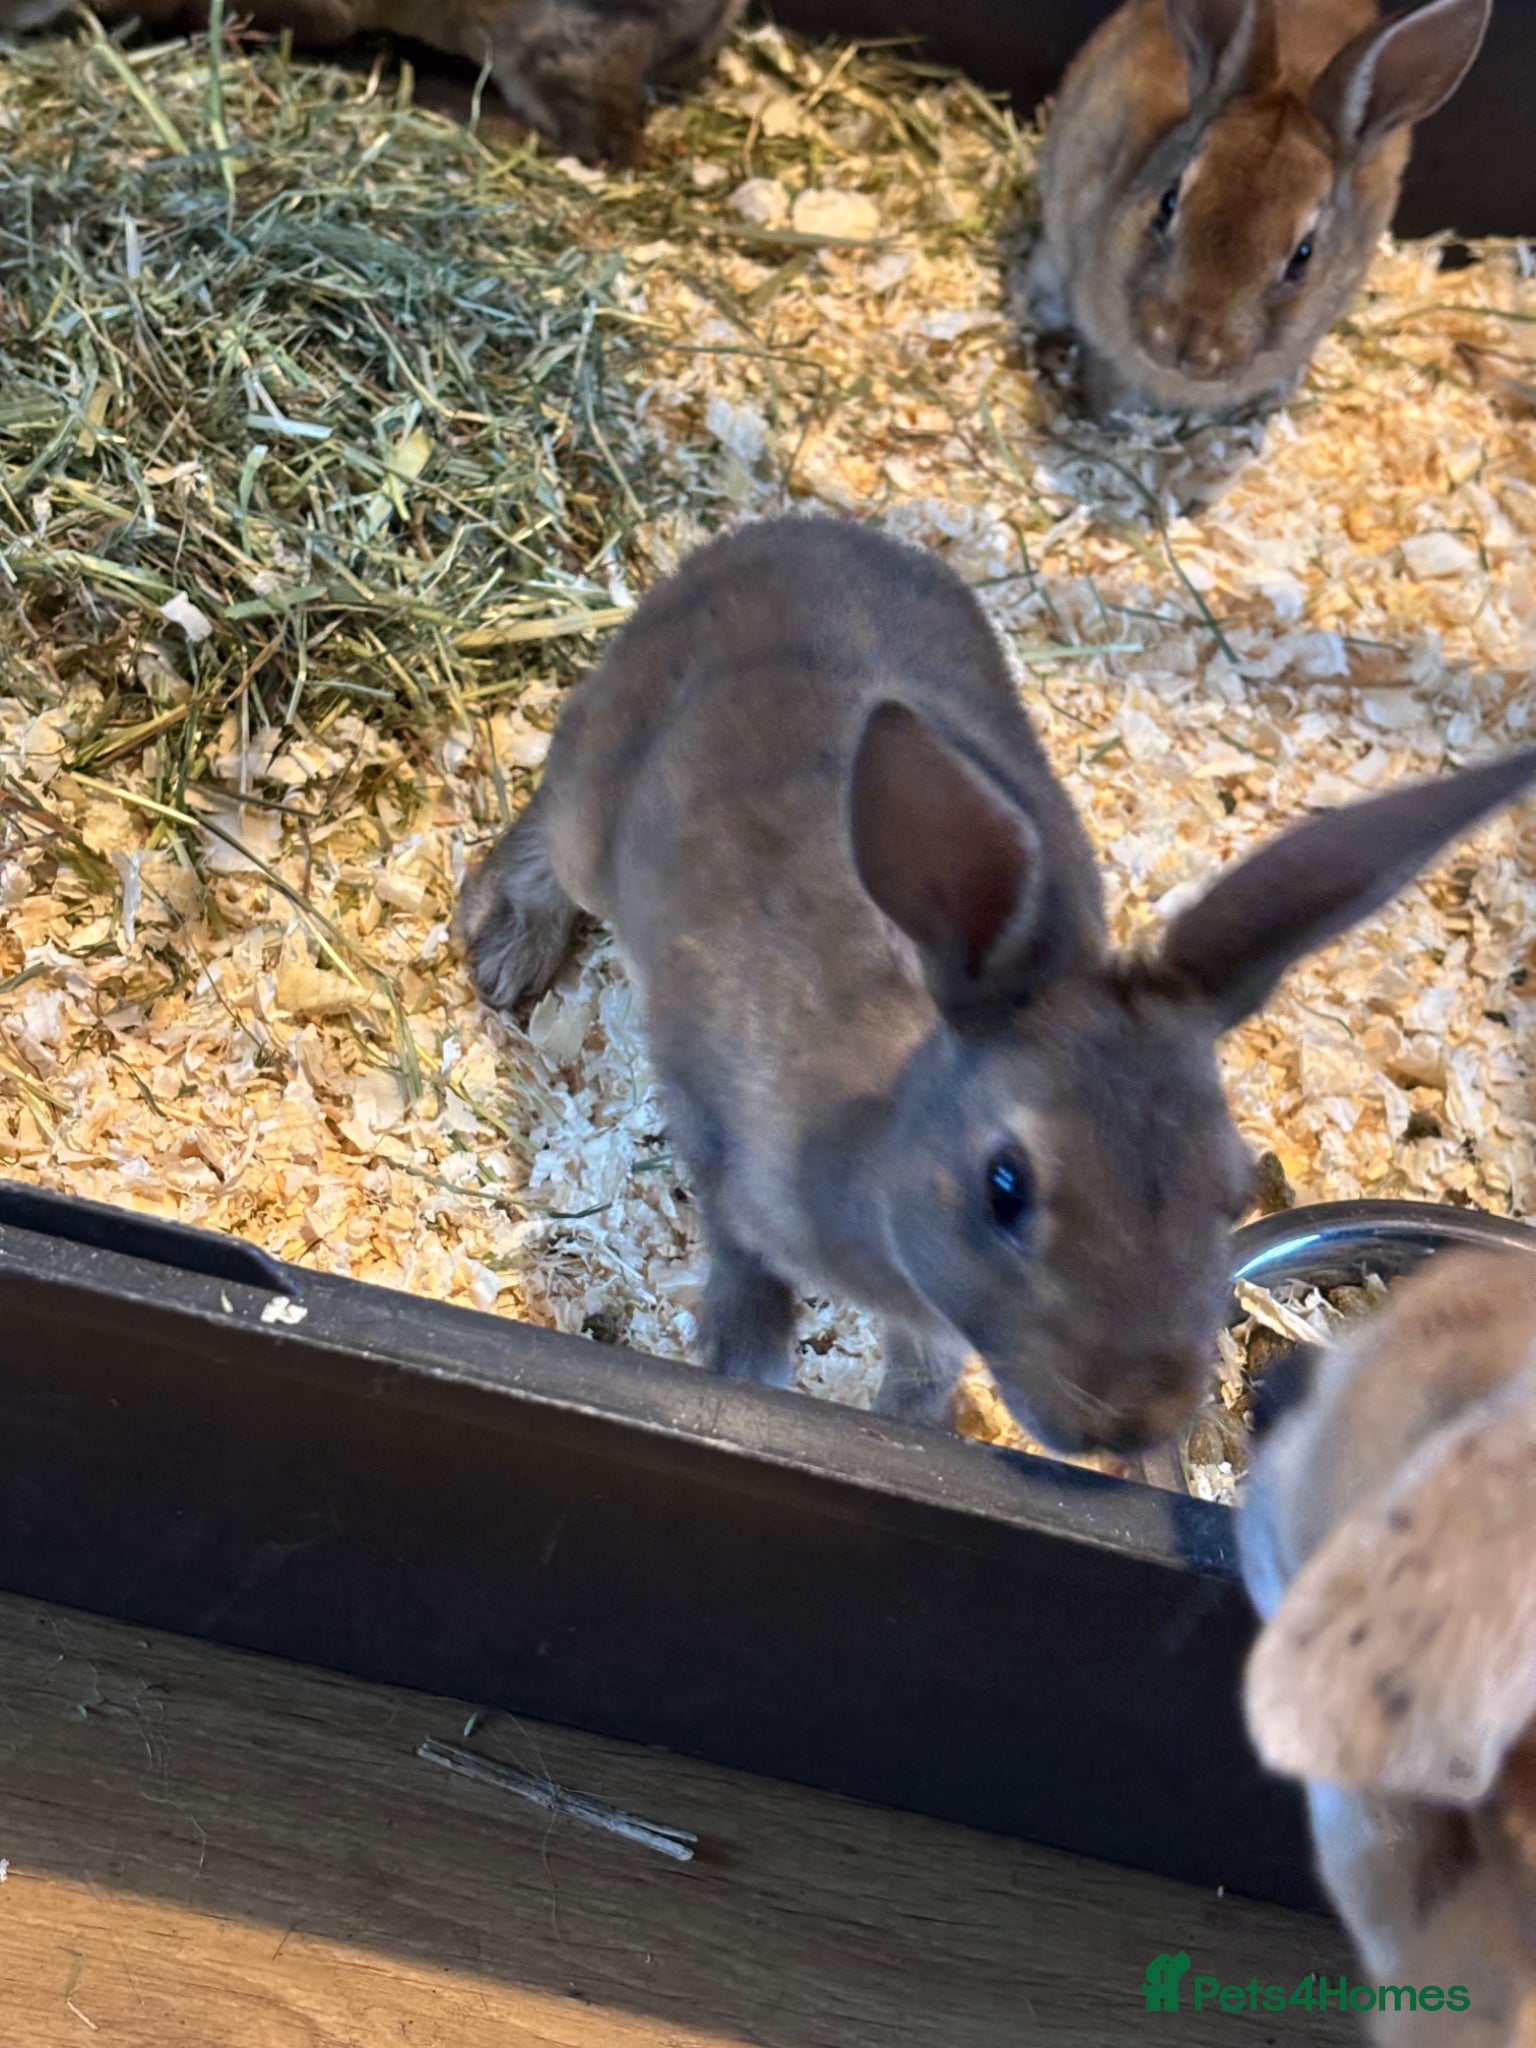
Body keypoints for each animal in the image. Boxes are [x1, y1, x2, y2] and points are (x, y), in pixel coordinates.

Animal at [459, 513, 1536, 1454]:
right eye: (1006, 1185)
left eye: (1232, 1187)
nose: (1130, 1425)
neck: (877, 1128)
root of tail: (783, 529)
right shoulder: (724, 1170)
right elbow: (746, 1304)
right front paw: (744, 1377)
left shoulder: (930, 1314)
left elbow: (923, 1370)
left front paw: (914, 1431)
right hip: (594, 810)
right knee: (547, 823)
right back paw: (505, 950)